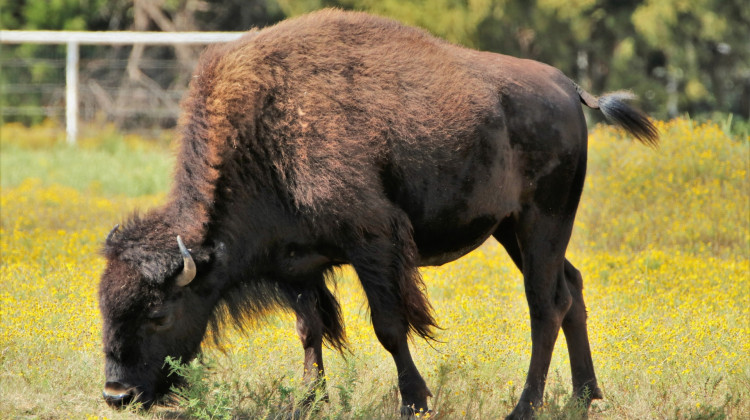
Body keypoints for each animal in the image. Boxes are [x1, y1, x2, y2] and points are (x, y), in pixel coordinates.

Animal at [98, 8, 656, 418]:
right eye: (105, 309)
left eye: (158, 314)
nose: (117, 395)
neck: (266, 137)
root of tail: (568, 87)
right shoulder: (299, 266)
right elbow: (309, 330)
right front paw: (310, 401)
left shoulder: (373, 242)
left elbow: (389, 326)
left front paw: (414, 402)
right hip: (511, 231)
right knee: (572, 288)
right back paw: (586, 396)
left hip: (543, 221)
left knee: (545, 303)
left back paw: (525, 407)